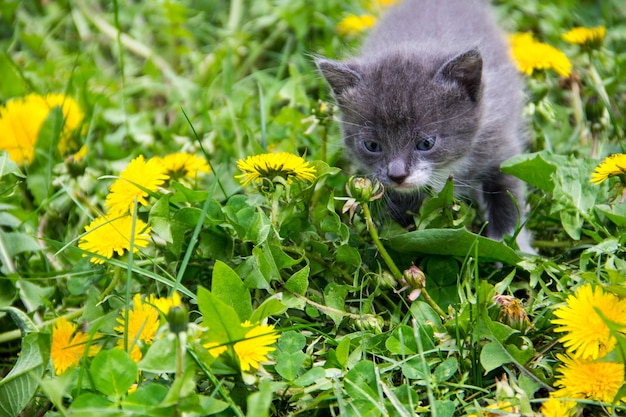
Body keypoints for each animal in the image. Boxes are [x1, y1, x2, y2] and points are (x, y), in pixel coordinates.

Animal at [314, 0, 528, 247]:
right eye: (372, 145)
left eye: (426, 143)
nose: (397, 175)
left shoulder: (499, 143)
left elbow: (509, 194)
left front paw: (511, 244)